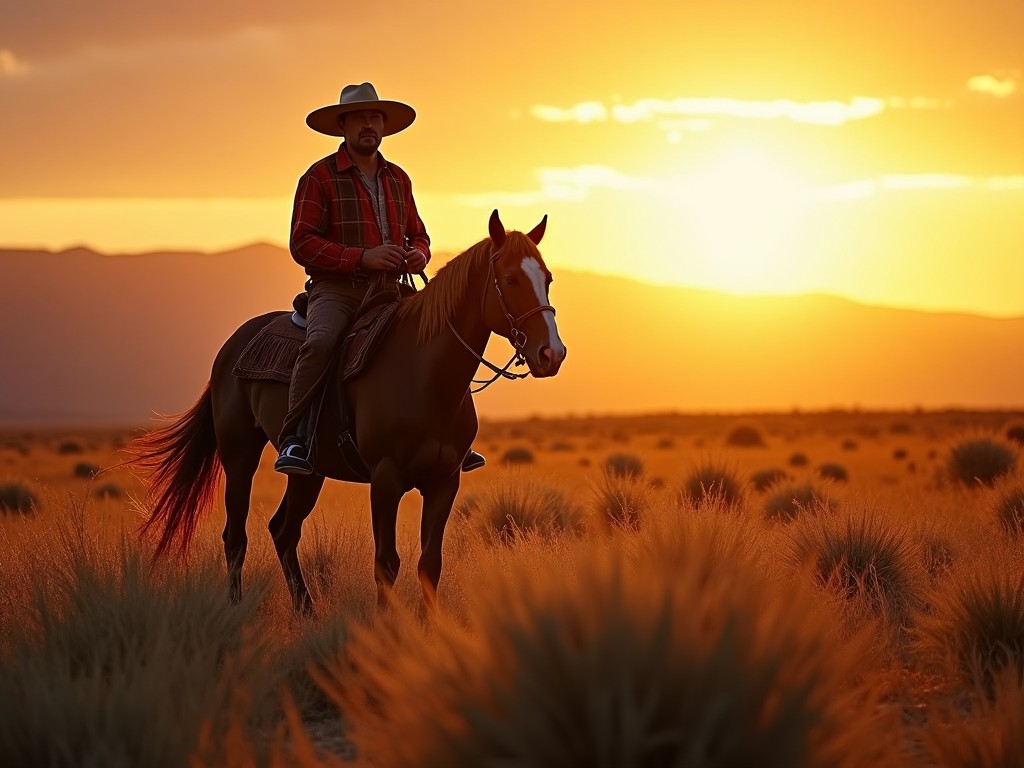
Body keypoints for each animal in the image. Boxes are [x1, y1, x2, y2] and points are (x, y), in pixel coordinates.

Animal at [128, 208, 569, 614]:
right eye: (510, 279)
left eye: (548, 279)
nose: (552, 353)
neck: (425, 376)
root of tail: (232, 346)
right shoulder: (385, 479)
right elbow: (386, 563)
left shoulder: (445, 481)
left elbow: (430, 563)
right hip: (239, 456)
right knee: (236, 538)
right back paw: (237, 612)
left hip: (310, 472)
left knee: (283, 531)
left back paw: (306, 611)